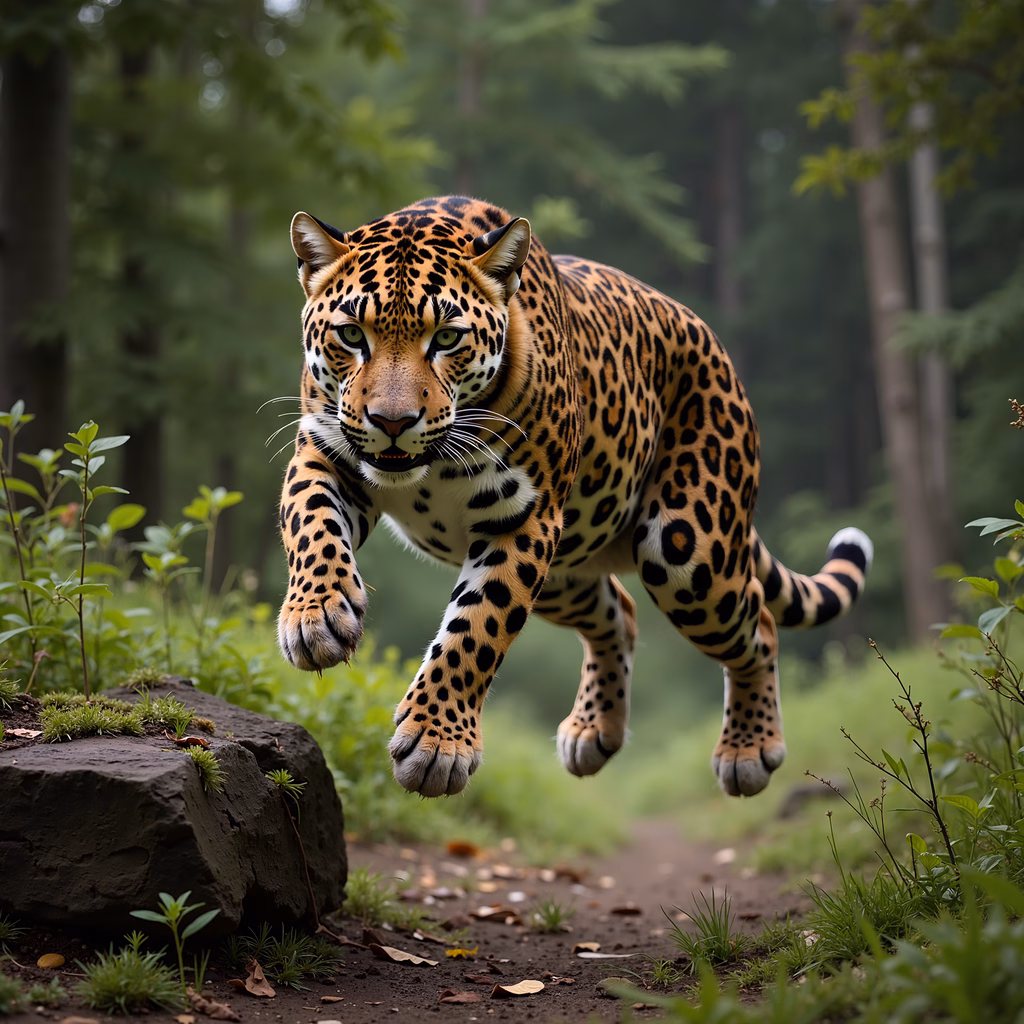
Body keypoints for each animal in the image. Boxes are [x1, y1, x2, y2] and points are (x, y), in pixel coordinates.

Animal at [276, 194, 873, 800]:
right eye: (352, 335)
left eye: (446, 339)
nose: (392, 422)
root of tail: (712, 342)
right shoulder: (322, 454)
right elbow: (312, 525)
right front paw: (317, 616)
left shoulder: (524, 518)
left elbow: (478, 627)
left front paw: (436, 743)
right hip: (567, 568)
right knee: (620, 612)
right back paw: (593, 730)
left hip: (686, 551)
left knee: (759, 622)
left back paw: (747, 749)